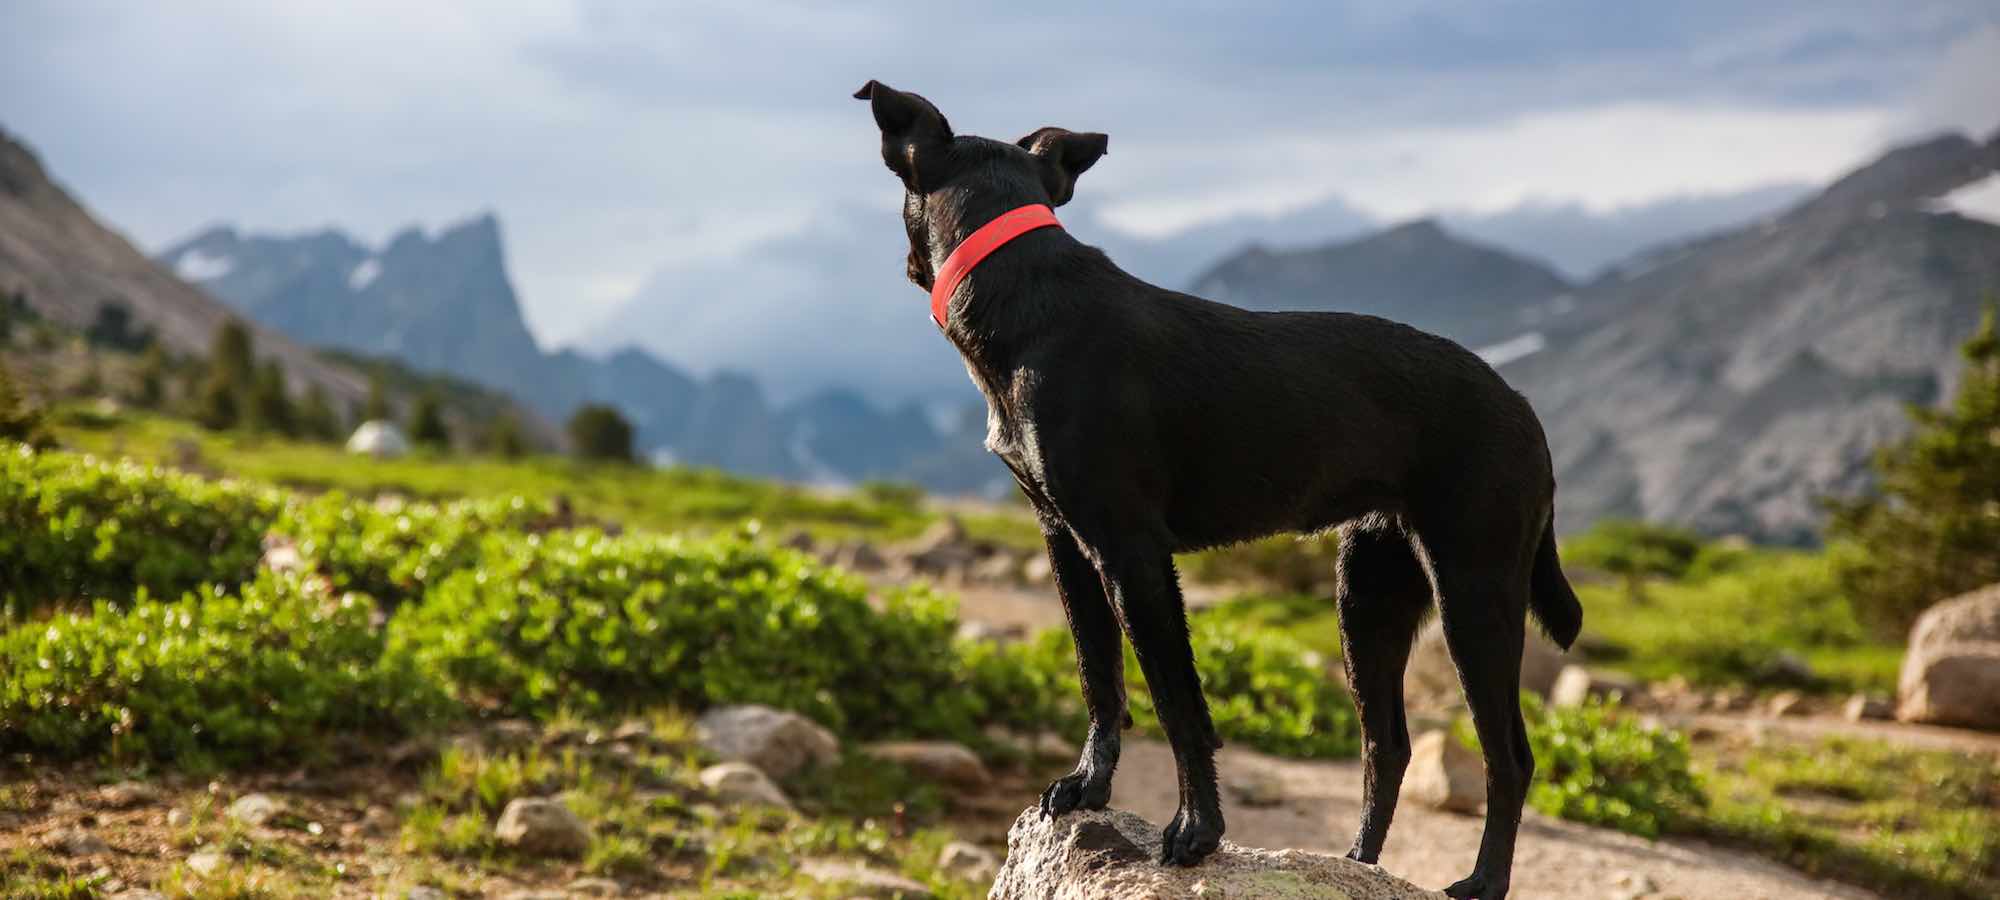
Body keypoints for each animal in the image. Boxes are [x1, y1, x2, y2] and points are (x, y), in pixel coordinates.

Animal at [852, 81, 1584, 896]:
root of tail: (1525, 411)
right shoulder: (1066, 544)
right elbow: (1099, 680)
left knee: (1508, 755)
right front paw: (1088, 788)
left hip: (1474, 593)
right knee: (1386, 746)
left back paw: (1482, 881)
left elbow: (1179, 705)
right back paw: (1356, 864)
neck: (1025, 294)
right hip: (1367, 596)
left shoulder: (1133, 555)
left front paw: (1196, 831)